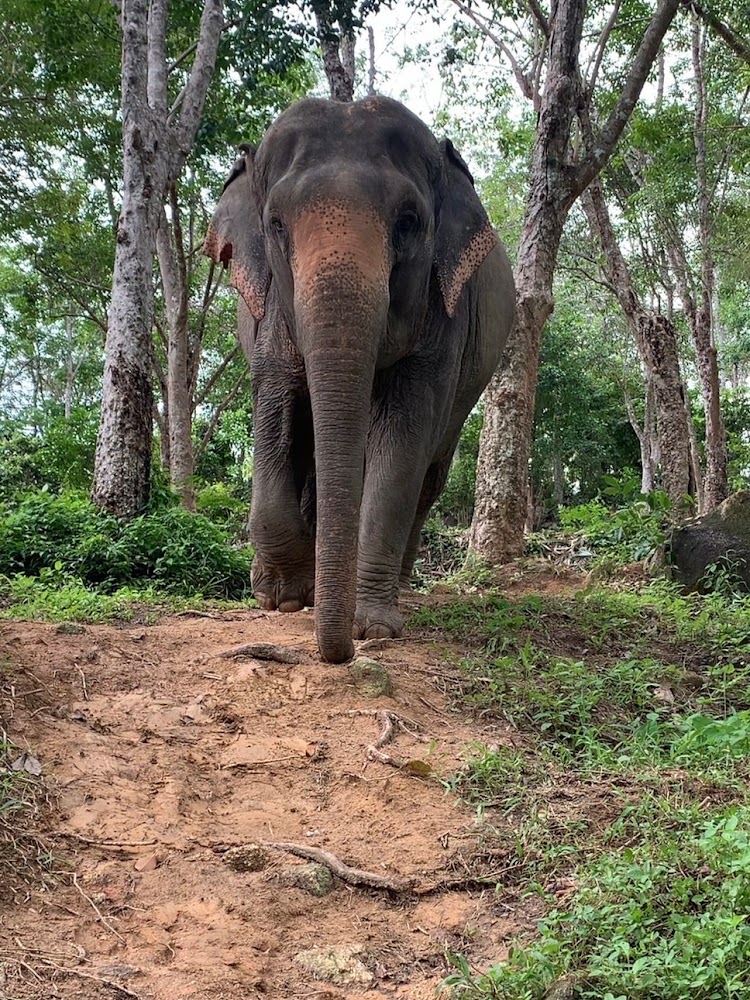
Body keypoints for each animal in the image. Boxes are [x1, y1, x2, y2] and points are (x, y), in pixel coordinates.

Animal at [204, 95, 515, 663]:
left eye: (409, 222)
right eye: (276, 223)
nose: (341, 654)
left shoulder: (443, 318)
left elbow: (401, 445)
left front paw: (373, 626)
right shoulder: (270, 314)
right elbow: (276, 406)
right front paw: (285, 601)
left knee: (428, 475)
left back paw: (402, 586)